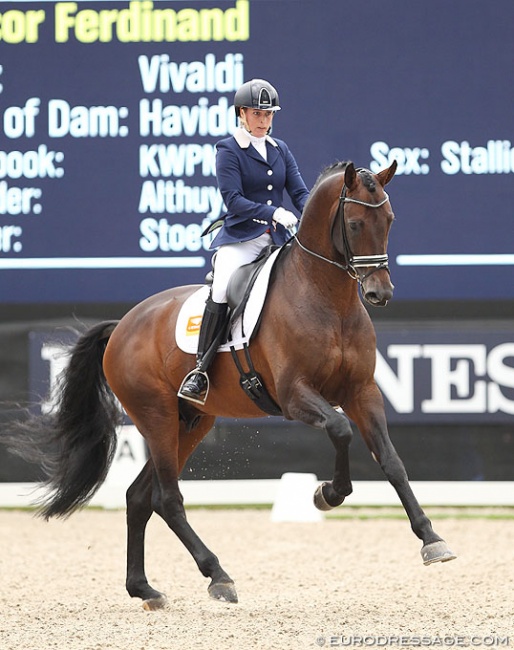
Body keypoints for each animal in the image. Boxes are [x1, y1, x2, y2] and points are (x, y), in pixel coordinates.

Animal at [3, 161, 452, 608]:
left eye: (389, 220)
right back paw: (217, 575)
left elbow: (392, 461)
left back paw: (144, 588)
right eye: (356, 224)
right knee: (167, 498)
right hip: (156, 416)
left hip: (190, 422)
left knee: (138, 497)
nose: (380, 293)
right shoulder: (295, 395)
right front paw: (328, 494)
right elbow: (341, 430)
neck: (328, 299)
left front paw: (431, 539)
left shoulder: (362, 392)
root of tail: (123, 325)